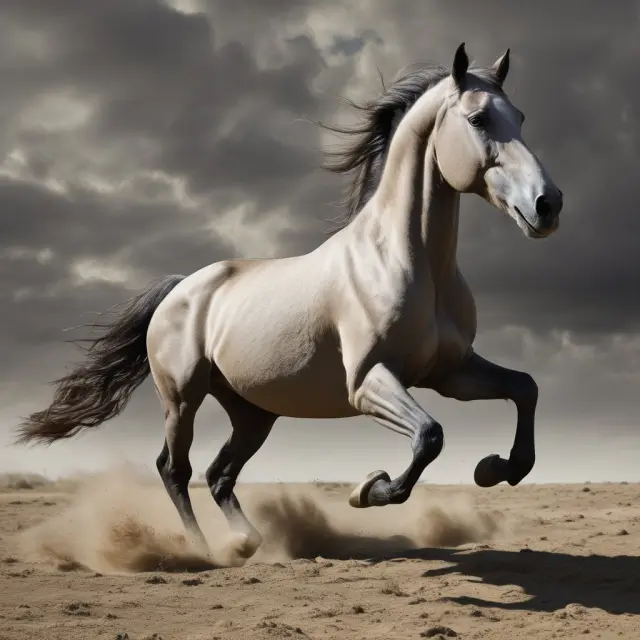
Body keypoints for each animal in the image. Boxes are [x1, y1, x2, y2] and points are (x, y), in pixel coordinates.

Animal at [16, 43, 563, 563]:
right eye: (478, 119)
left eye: (520, 118)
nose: (548, 204)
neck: (409, 261)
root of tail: (179, 289)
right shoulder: (367, 382)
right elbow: (430, 435)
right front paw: (368, 489)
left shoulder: (450, 373)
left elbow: (525, 388)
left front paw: (494, 468)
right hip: (182, 399)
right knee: (175, 468)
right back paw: (204, 550)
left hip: (254, 413)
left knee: (218, 473)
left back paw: (247, 541)